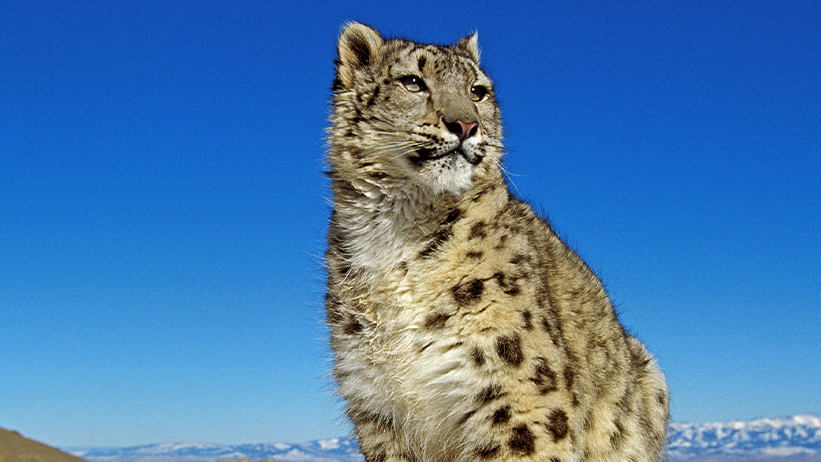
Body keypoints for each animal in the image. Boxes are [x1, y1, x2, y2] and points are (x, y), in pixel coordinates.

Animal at [322, 23, 668, 462]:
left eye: (477, 91)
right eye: (412, 82)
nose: (465, 126)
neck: (396, 234)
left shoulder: (517, 392)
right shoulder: (375, 405)